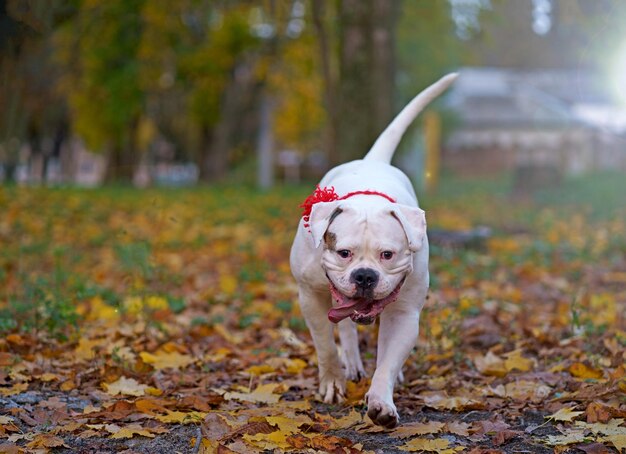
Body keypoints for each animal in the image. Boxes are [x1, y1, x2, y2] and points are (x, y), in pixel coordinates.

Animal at [290, 72, 456, 428]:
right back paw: (351, 363)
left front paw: (381, 401)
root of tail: (372, 161)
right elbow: (325, 344)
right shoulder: (310, 296)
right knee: (345, 328)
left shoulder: (405, 313)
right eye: (344, 253)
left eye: (387, 255)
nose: (365, 276)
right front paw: (332, 382)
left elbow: (388, 360)